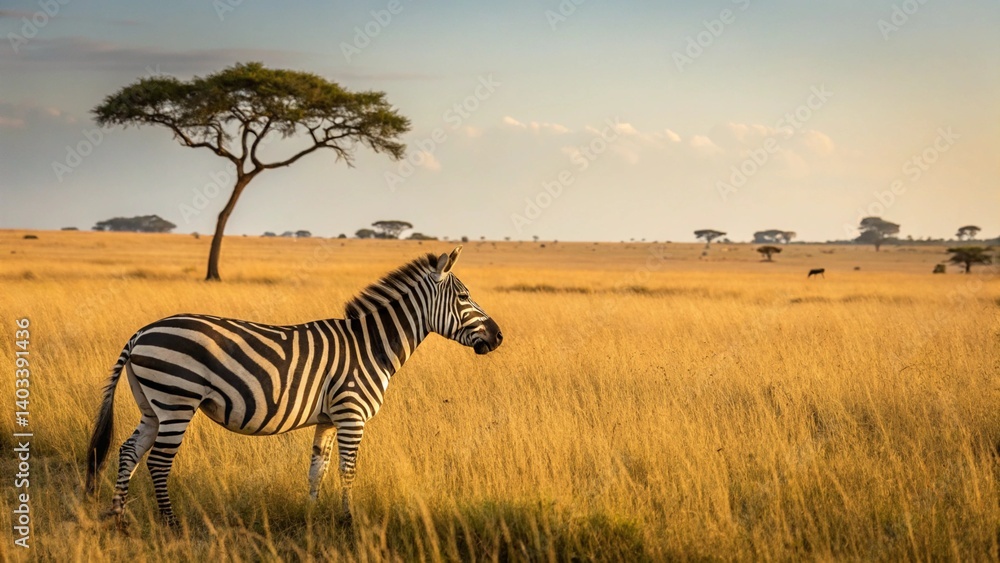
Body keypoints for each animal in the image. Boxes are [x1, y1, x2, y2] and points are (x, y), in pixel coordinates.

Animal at [85, 246, 502, 526]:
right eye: (464, 297)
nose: (498, 336)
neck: (371, 346)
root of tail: (141, 333)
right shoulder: (351, 416)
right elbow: (348, 471)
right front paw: (349, 523)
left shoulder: (329, 419)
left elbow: (318, 469)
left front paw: (311, 517)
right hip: (177, 400)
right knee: (157, 460)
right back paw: (170, 523)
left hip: (152, 405)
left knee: (128, 451)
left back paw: (119, 518)